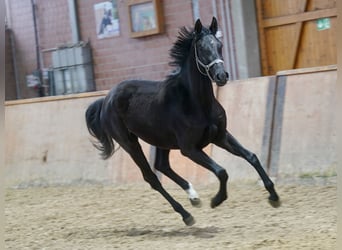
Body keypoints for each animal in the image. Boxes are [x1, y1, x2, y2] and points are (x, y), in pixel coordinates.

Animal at [86, 16, 280, 226]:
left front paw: (274, 196)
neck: (197, 103)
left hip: (161, 140)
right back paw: (186, 214)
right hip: (130, 143)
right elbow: (222, 171)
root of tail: (106, 99)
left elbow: (251, 156)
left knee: (162, 166)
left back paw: (193, 197)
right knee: (152, 177)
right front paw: (216, 200)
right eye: (202, 48)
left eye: (219, 45)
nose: (222, 76)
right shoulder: (189, 149)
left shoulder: (220, 136)